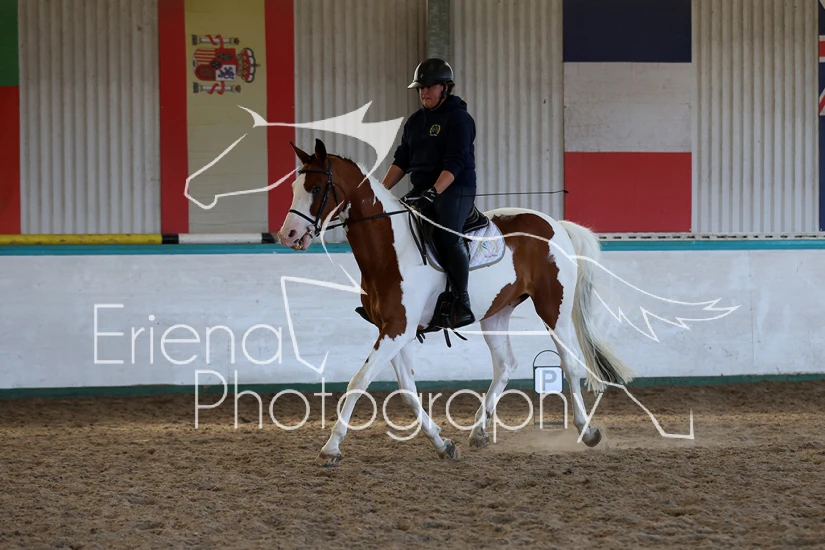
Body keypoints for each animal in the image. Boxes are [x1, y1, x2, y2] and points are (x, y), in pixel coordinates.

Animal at [276, 138, 634, 466]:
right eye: (294, 187)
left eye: (316, 187)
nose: (287, 234)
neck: (391, 250)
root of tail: (555, 225)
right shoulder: (393, 329)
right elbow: (406, 390)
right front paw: (443, 444)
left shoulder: (397, 329)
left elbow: (358, 382)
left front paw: (331, 447)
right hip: (496, 312)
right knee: (505, 365)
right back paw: (479, 432)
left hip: (553, 308)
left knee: (569, 363)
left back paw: (587, 431)